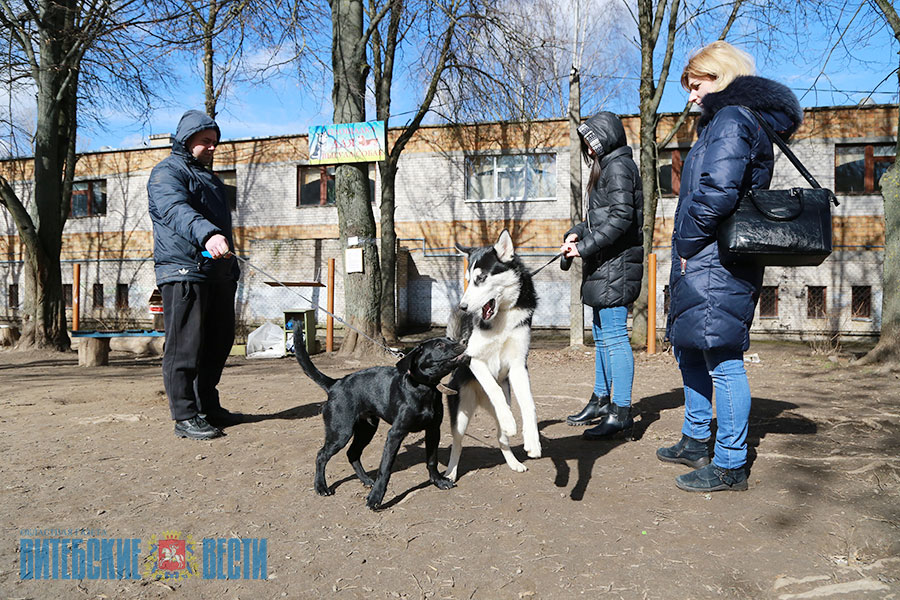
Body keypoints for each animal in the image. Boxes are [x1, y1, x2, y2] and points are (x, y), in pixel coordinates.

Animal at [294, 328, 468, 510]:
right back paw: (321, 487)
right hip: (340, 433)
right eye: (439, 345)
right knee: (321, 455)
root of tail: (335, 384)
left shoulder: (433, 430)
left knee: (352, 453)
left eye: (450, 339)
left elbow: (432, 460)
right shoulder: (395, 434)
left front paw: (438, 481)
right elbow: (385, 468)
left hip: (366, 430)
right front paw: (376, 498)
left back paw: (365, 480)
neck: (425, 389)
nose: (464, 342)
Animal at [444, 227, 540, 480]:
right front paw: (510, 420)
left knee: (501, 438)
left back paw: (513, 462)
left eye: (481, 278)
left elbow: (529, 404)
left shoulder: (518, 365)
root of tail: (479, 400)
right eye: (468, 279)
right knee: (458, 444)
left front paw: (533, 441)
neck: (502, 318)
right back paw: (450, 473)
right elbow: (493, 387)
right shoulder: (473, 359)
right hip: (460, 417)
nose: (463, 306)